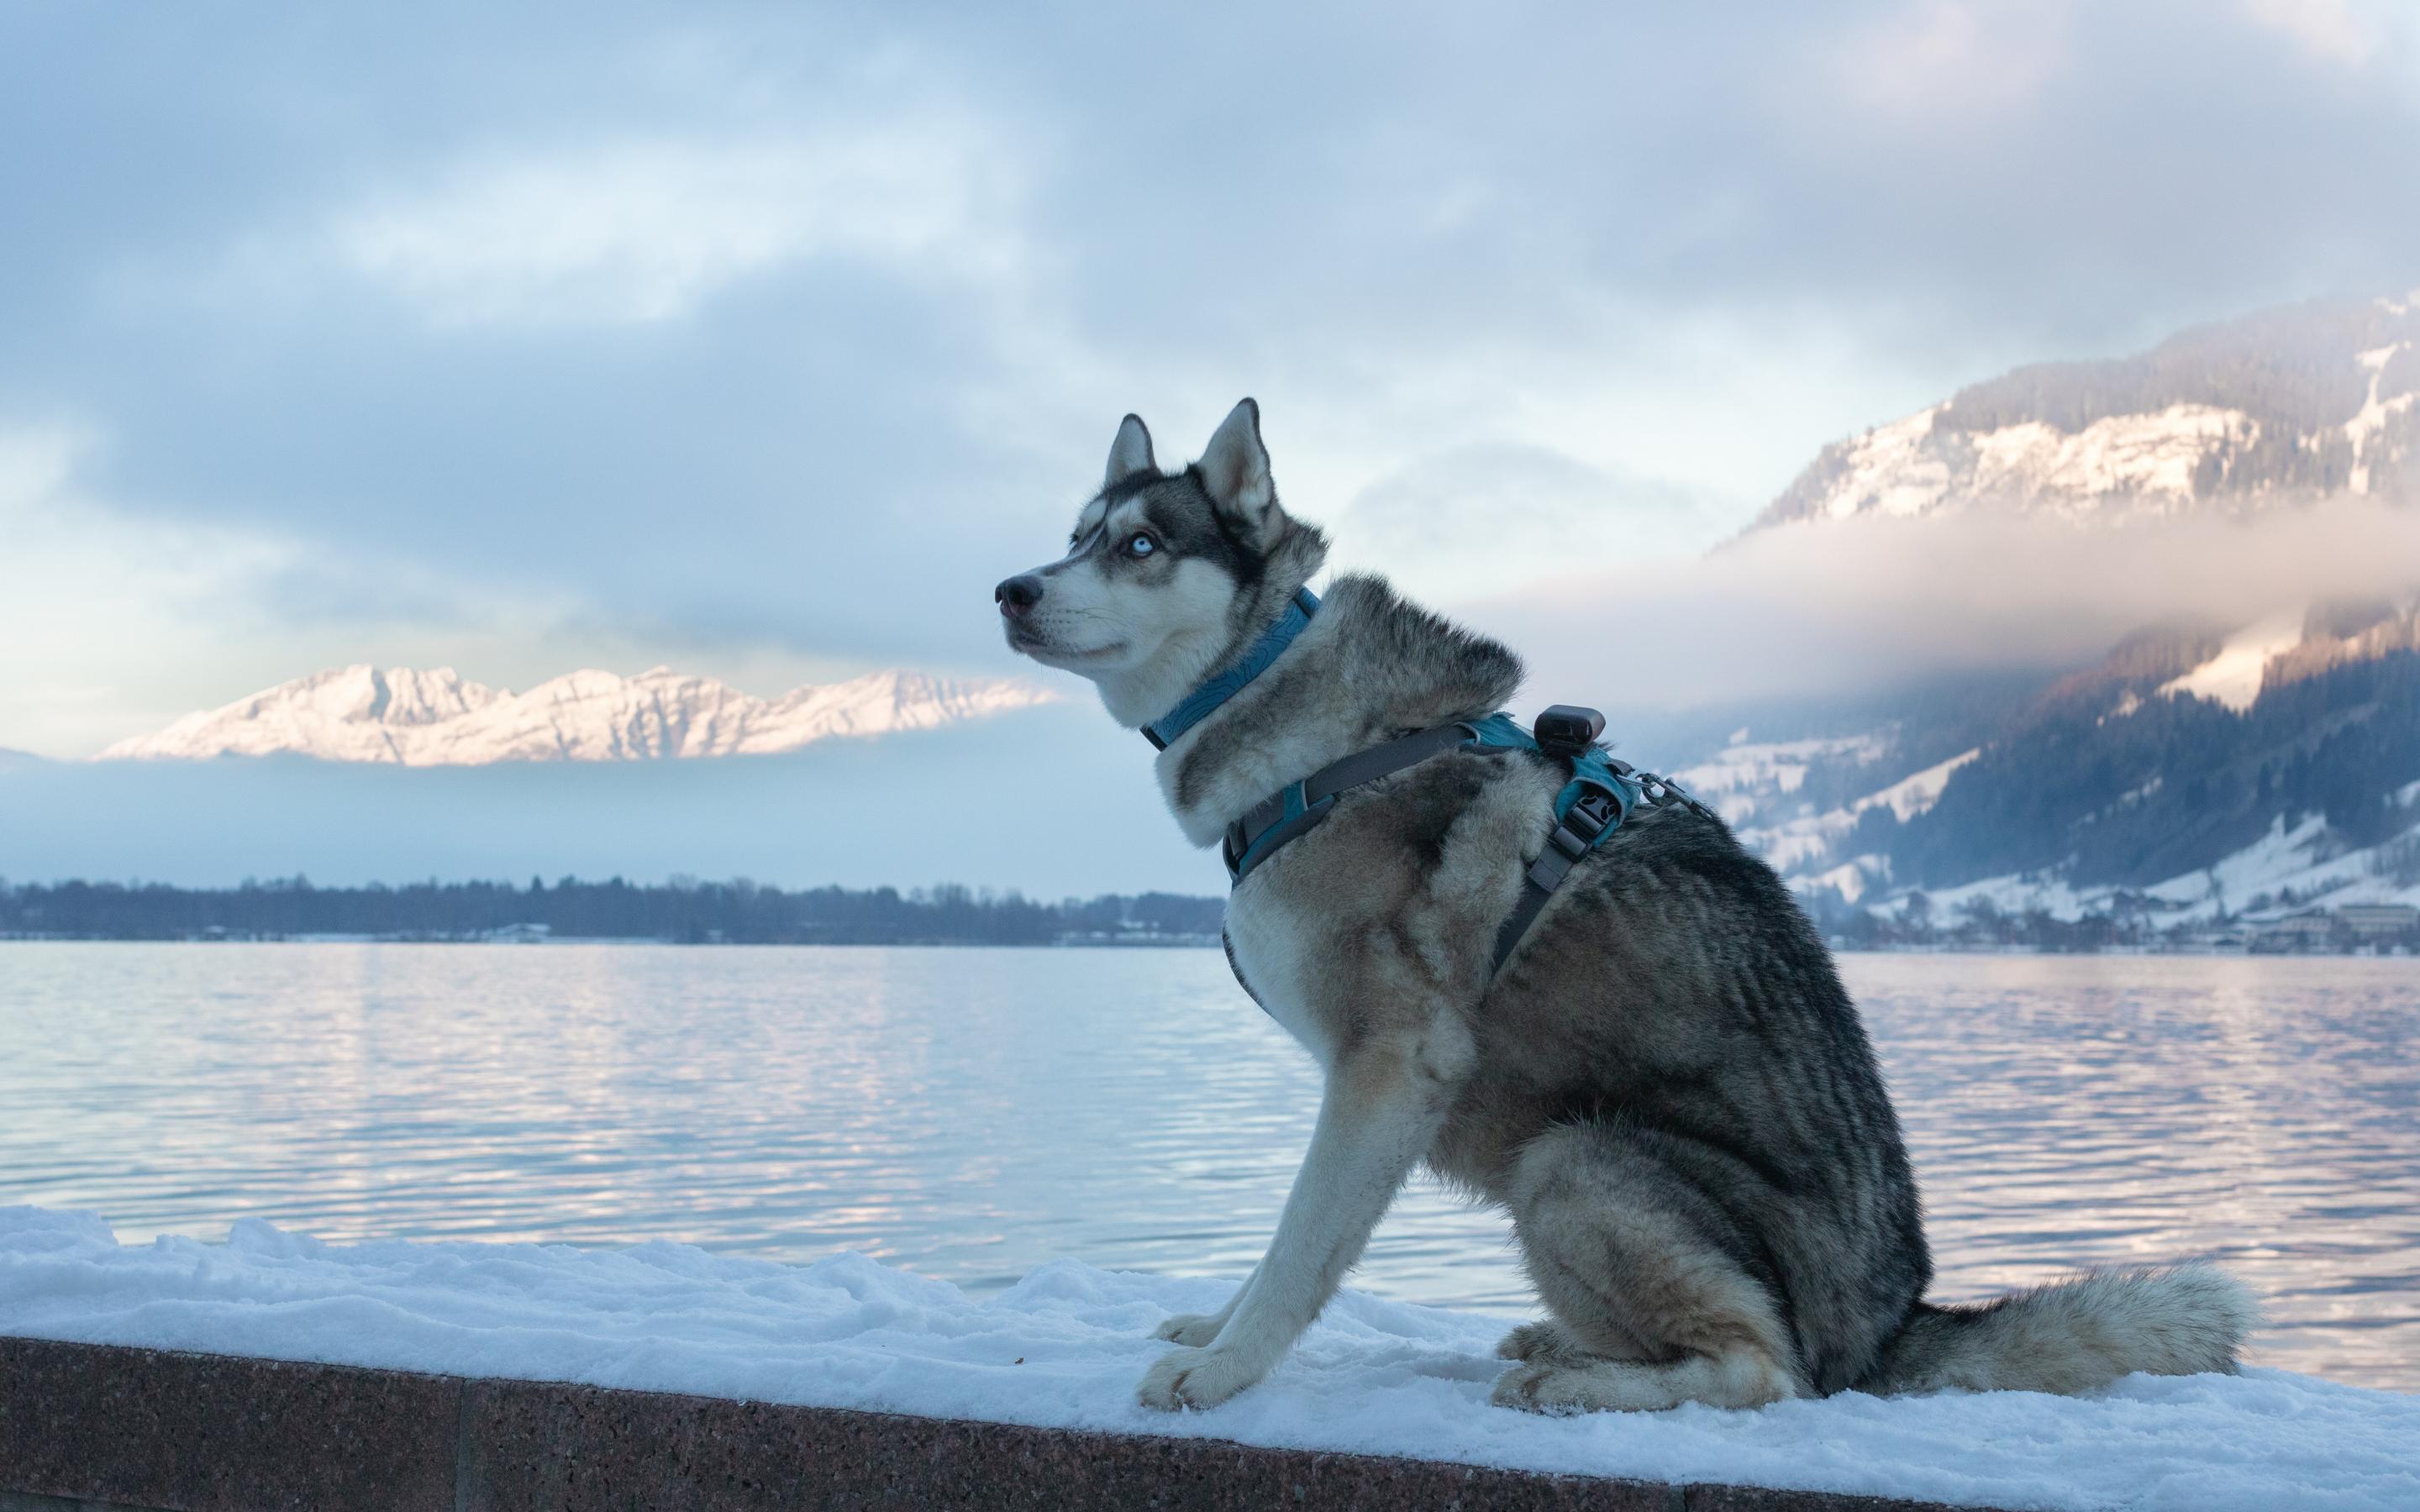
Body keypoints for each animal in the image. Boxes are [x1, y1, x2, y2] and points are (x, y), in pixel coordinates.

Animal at [992, 402, 2255, 1412]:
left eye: (1141, 544)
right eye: (1075, 535)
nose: (1010, 587)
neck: (1302, 727)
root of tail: (1887, 1330)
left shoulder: (1392, 1064)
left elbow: (1300, 1251)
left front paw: (1223, 1370)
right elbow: (1275, 1251)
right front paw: (1216, 1328)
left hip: (1570, 1161)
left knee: (1765, 1372)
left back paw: (1577, 1382)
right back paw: (1569, 1346)